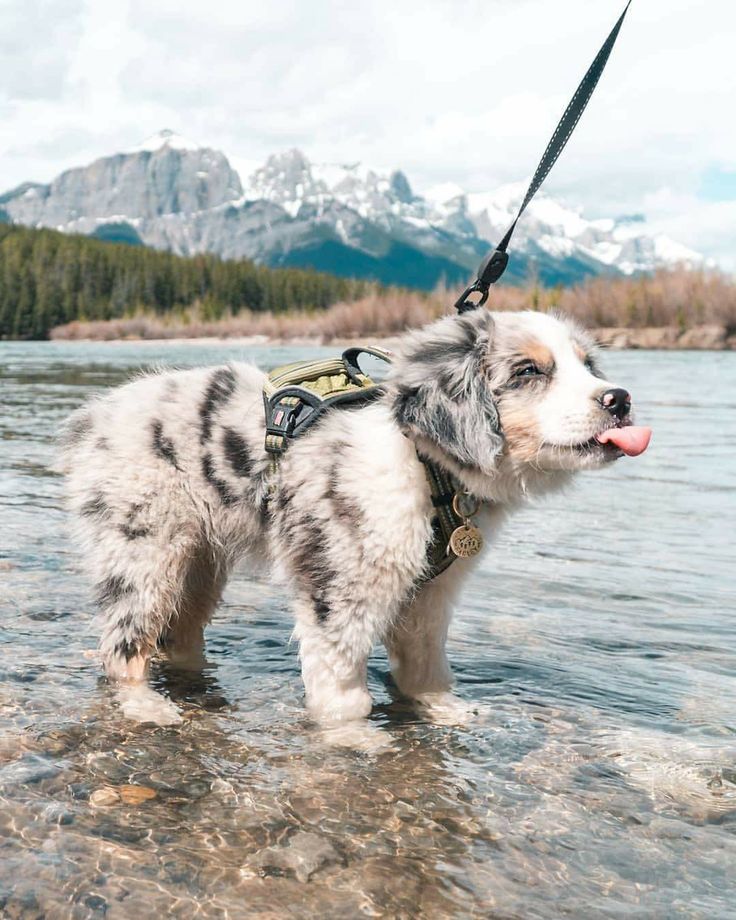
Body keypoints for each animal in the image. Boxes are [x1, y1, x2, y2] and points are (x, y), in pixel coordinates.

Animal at [61, 310, 648, 724]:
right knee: (122, 644)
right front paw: (355, 738)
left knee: (179, 635)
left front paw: (447, 711)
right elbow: (341, 682)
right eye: (529, 371)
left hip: (199, 563)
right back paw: (147, 707)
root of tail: (94, 419)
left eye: (588, 365)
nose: (619, 399)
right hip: (145, 550)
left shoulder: (432, 589)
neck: (424, 464)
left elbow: (425, 665)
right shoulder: (340, 582)